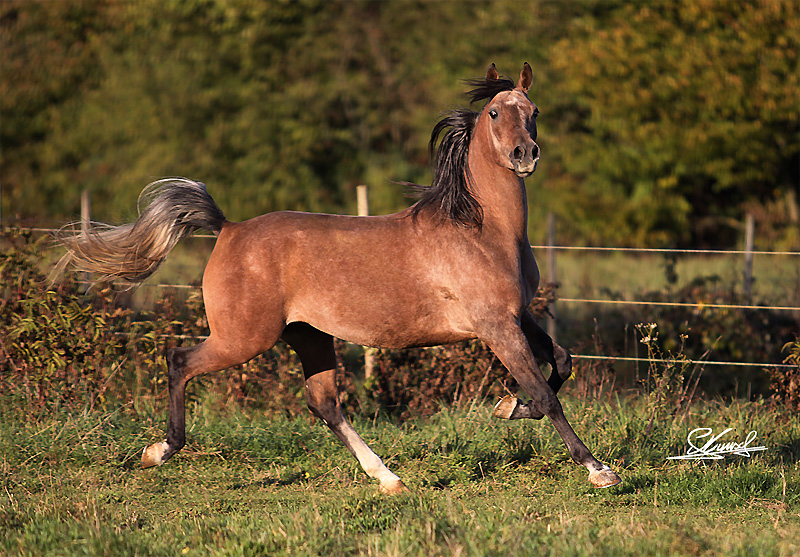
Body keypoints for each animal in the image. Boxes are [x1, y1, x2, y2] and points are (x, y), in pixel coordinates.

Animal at [57, 63, 621, 492]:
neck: (482, 229)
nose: (525, 155)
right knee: (180, 361)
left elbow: (563, 363)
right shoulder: (495, 327)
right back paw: (159, 451)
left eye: (535, 112)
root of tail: (228, 228)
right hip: (243, 337)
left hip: (307, 336)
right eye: (495, 112)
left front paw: (508, 405)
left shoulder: (516, 317)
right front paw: (599, 470)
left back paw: (389, 479)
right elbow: (547, 393)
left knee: (324, 404)